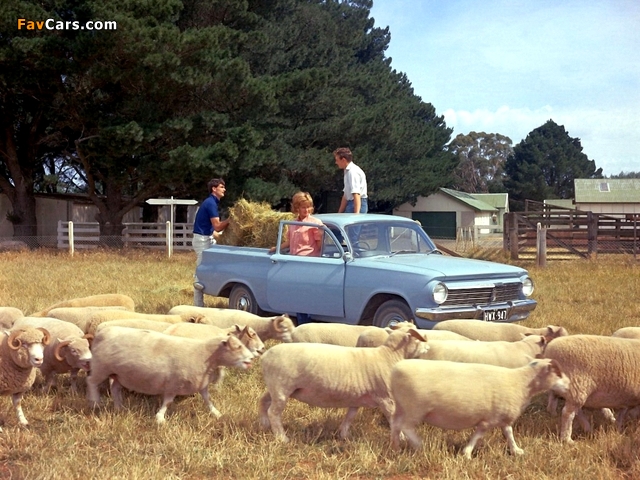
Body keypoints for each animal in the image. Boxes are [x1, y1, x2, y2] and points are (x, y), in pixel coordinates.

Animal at [85, 326, 255, 424]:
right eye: (238, 347)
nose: (252, 358)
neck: (203, 354)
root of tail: (101, 332)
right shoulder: (174, 384)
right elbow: (167, 402)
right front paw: (160, 418)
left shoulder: (201, 384)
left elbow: (208, 400)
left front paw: (216, 413)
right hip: (101, 367)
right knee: (91, 381)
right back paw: (95, 402)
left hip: (118, 373)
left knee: (114, 388)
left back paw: (119, 407)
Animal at [258, 330, 428, 442]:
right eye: (418, 339)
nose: (428, 347)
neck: (389, 356)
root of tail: (265, 356)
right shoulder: (386, 399)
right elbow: (393, 420)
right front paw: (402, 439)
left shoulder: (357, 397)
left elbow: (350, 416)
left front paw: (344, 435)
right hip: (281, 388)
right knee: (274, 412)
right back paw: (282, 438)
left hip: (275, 386)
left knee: (263, 401)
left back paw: (264, 424)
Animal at [388, 358, 568, 460]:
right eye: (558, 373)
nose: (569, 385)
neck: (521, 382)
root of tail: (395, 369)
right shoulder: (489, 419)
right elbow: (478, 435)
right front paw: (467, 453)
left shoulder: (502, 417)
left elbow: (508, 433)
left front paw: (516, 451)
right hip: (415, 408)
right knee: (406, 427)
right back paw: (420, 445)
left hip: (402, 407)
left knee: (395, 425)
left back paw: (396, 448)